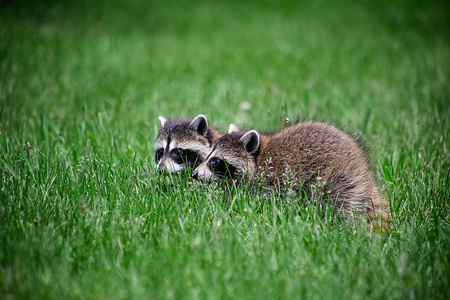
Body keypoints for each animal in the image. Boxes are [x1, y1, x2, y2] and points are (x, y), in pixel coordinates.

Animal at [192, 120, 388, 221]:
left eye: (216, 161)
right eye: (208, 155)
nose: (194, 174)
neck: (259, 159)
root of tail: (363, 168)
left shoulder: (275, 179)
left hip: (338, 177)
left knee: (338, 201)